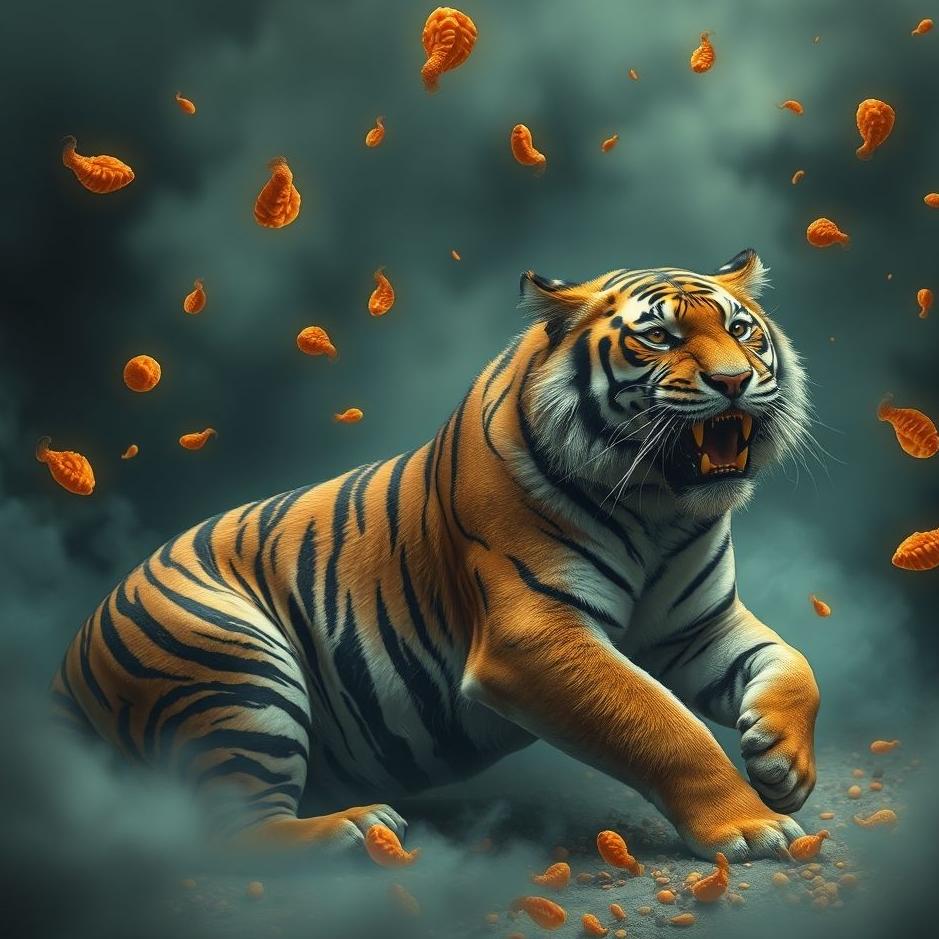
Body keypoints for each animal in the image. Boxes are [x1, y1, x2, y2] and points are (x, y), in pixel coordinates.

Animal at [51, 248, 820, 861]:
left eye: (741, 329)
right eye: (659, 337)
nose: (732, 380)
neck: (661, 507)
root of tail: (70, 659)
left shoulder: (698, 625)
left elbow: (793, 664)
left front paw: (781, 762)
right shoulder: (534, 634)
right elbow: (662, 723)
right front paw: (748, 825)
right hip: (236, 669)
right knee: (224, 829)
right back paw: (354, 829)